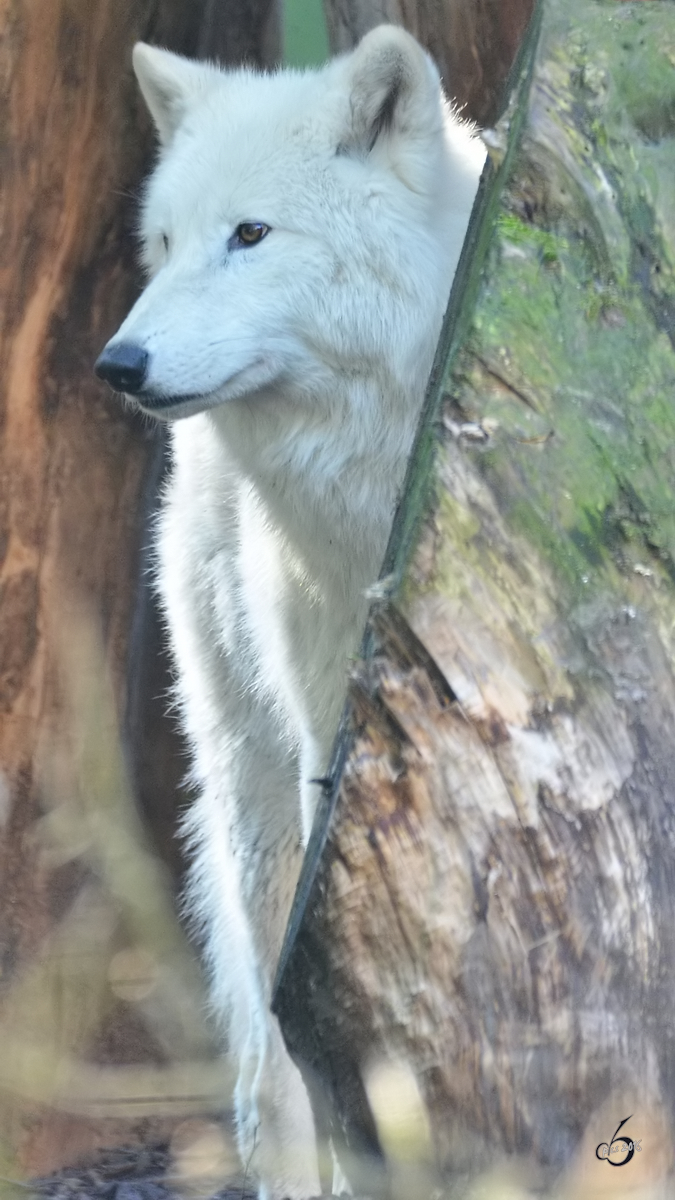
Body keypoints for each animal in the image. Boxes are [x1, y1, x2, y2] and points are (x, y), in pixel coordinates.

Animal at [96, 25, 482, 1190]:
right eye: (166, 241)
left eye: (251, 234)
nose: (117, 364)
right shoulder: (330, 730)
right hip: (250, 789)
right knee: (272, 1048)